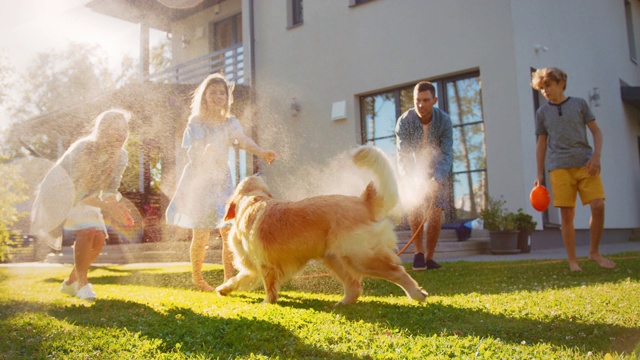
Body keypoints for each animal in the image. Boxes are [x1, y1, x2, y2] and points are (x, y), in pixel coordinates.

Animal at [216, 145, 430, 306]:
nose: (259, 168)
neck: (252, 200)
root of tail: (362, 201)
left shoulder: (265, 264)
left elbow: (269, 288)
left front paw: (267, 303)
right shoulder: (253, 266)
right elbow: (237, 279)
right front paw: (223, 289)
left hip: (360, 257)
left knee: (398, 272)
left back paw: (417, 294)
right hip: (335, 258)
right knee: (355, 287)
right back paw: (342, 304)